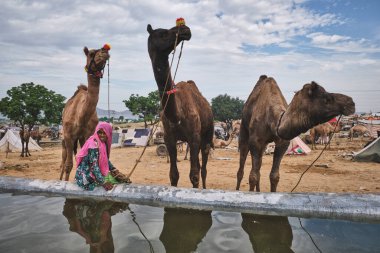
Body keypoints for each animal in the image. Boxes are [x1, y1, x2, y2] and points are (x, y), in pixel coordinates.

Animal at [59, 44, 110, 181]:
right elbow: (68, 165)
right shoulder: (68, 135)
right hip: (64, 138)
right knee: (63, 161)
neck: (81, 117)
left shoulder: (87, 135)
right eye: (91, 53)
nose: (105, 51)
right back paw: (59, 179)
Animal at [148, 20, 215, 188]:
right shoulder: (169, 139)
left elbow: (194, 175)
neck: (176, 115)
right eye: (163, 33)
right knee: (199, 166)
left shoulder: (194, 137)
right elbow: (173, 175)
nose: (185, 29)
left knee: (203, 169)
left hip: (207, 135)